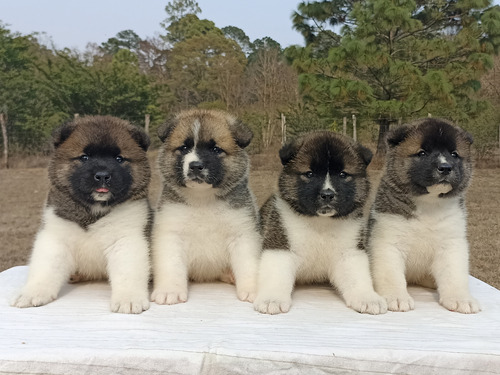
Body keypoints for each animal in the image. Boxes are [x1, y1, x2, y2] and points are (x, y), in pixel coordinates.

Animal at [11, 117, 150, 314]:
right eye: (85, 157)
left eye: (119, 158)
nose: (103, 176)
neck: (92, 211)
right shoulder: (55, 238)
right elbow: (45, 269)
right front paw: (32, 293)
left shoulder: (126, 240)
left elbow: (127, 272)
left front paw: (128, 299)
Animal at [151, 108, 262, 306]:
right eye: (184, 148)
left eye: (216, 149)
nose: (196, 166)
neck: (202, 198)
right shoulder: (171, 233)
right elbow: (171, 264)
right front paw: (170, 290)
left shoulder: (242, 234)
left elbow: (248, 264)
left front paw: (253, 289)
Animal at [254, 131, 386, 316]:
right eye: (309, 174)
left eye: (343, 175)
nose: (327, 195)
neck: (321, 222)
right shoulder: (280, 246)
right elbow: (276, 274)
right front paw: (272, 299)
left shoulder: (349, 253)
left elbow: (358, 277)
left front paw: (367, 298)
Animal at [368, 117, 480, 314]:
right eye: (422, 153)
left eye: (454, 154)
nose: (445, 167)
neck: (429, 204)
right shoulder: (388, 242)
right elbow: (391, 274)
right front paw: (396, 297)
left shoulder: (451, 244)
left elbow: (454, 274)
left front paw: (460, 298)